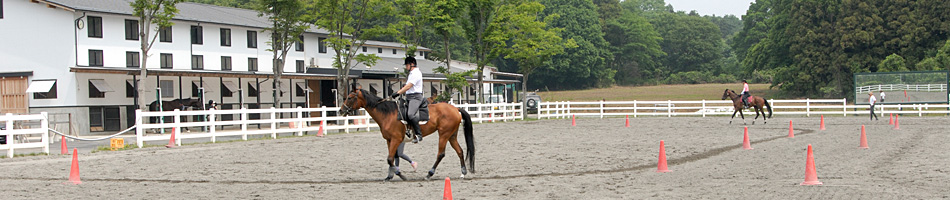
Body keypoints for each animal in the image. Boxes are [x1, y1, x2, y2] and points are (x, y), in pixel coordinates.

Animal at [340, 87, 476, 181]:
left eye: (350, 97)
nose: (341, 110)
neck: (388, 114)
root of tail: (455, 109)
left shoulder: (395, 140)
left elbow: (390, 159)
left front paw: (400, 175)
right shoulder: (389, 140)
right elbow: (393, 158)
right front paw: (390, 176)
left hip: (444, 135)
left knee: (441, 154)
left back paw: (429, 174)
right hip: (451, 135)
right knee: (460, 151)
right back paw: (463, 173)